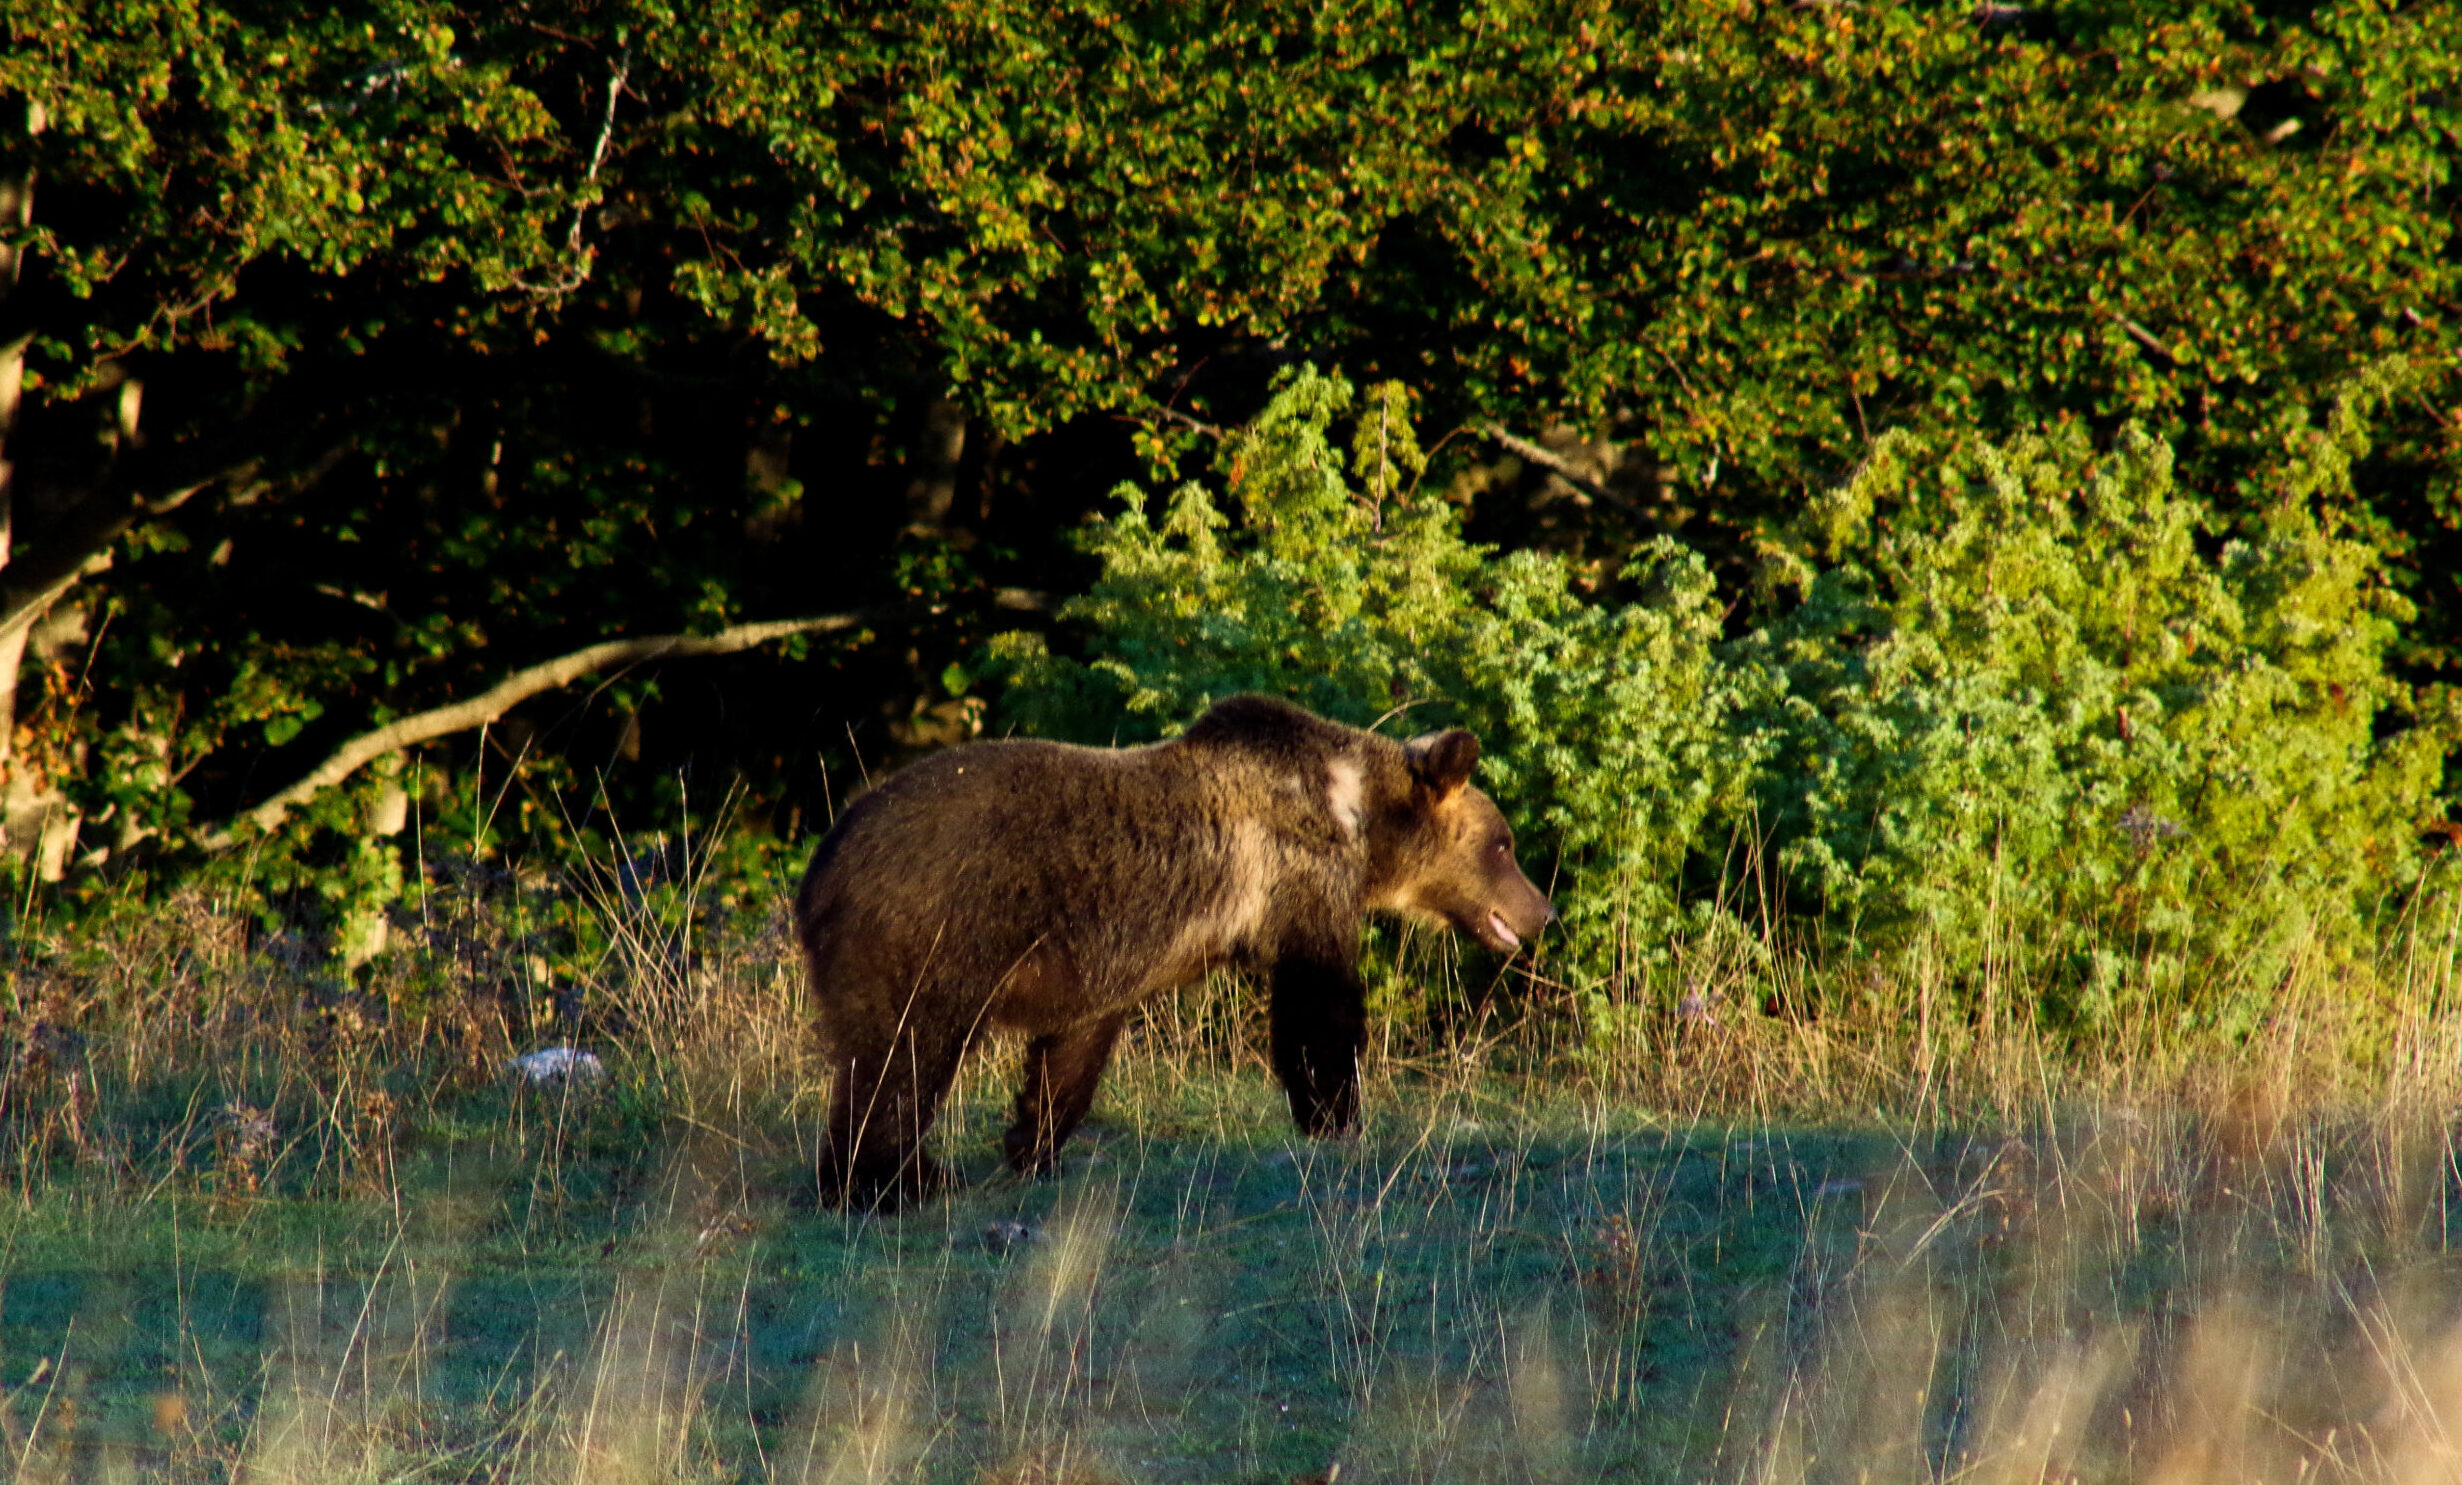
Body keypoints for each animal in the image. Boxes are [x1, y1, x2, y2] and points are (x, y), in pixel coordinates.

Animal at [793, 693, 1555, 1206]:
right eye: (1504, 844)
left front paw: (1035, 1143)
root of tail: (823, 862)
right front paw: (1337, 1118)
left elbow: (1074, 1046)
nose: (1542, 910)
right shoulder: (1297, 880)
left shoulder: (1105, 958)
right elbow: (1318, 1006)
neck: (1358, 822)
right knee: (902, 1054)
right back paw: (892, 1181)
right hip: (932, 930)